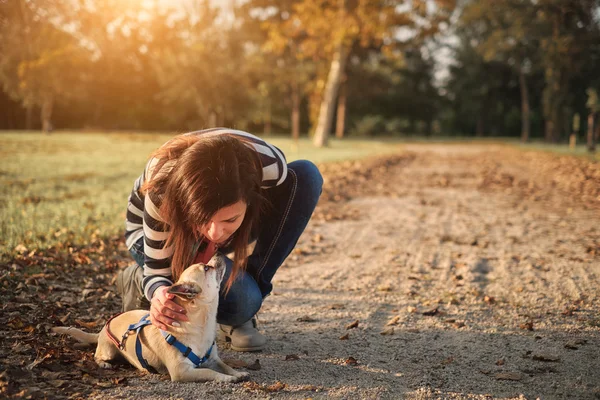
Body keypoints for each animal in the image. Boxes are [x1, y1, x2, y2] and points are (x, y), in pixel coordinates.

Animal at [51, 255, 247, 382]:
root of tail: (101, 330)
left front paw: (237, 373)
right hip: (108, 351)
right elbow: (208, 372)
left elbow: (224, 365)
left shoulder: (213, 359)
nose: (218, 254)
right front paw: (226, 378)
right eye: (206, 268)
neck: (202, 324)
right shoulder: (181, 372)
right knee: (97, 356)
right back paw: (103, 364)